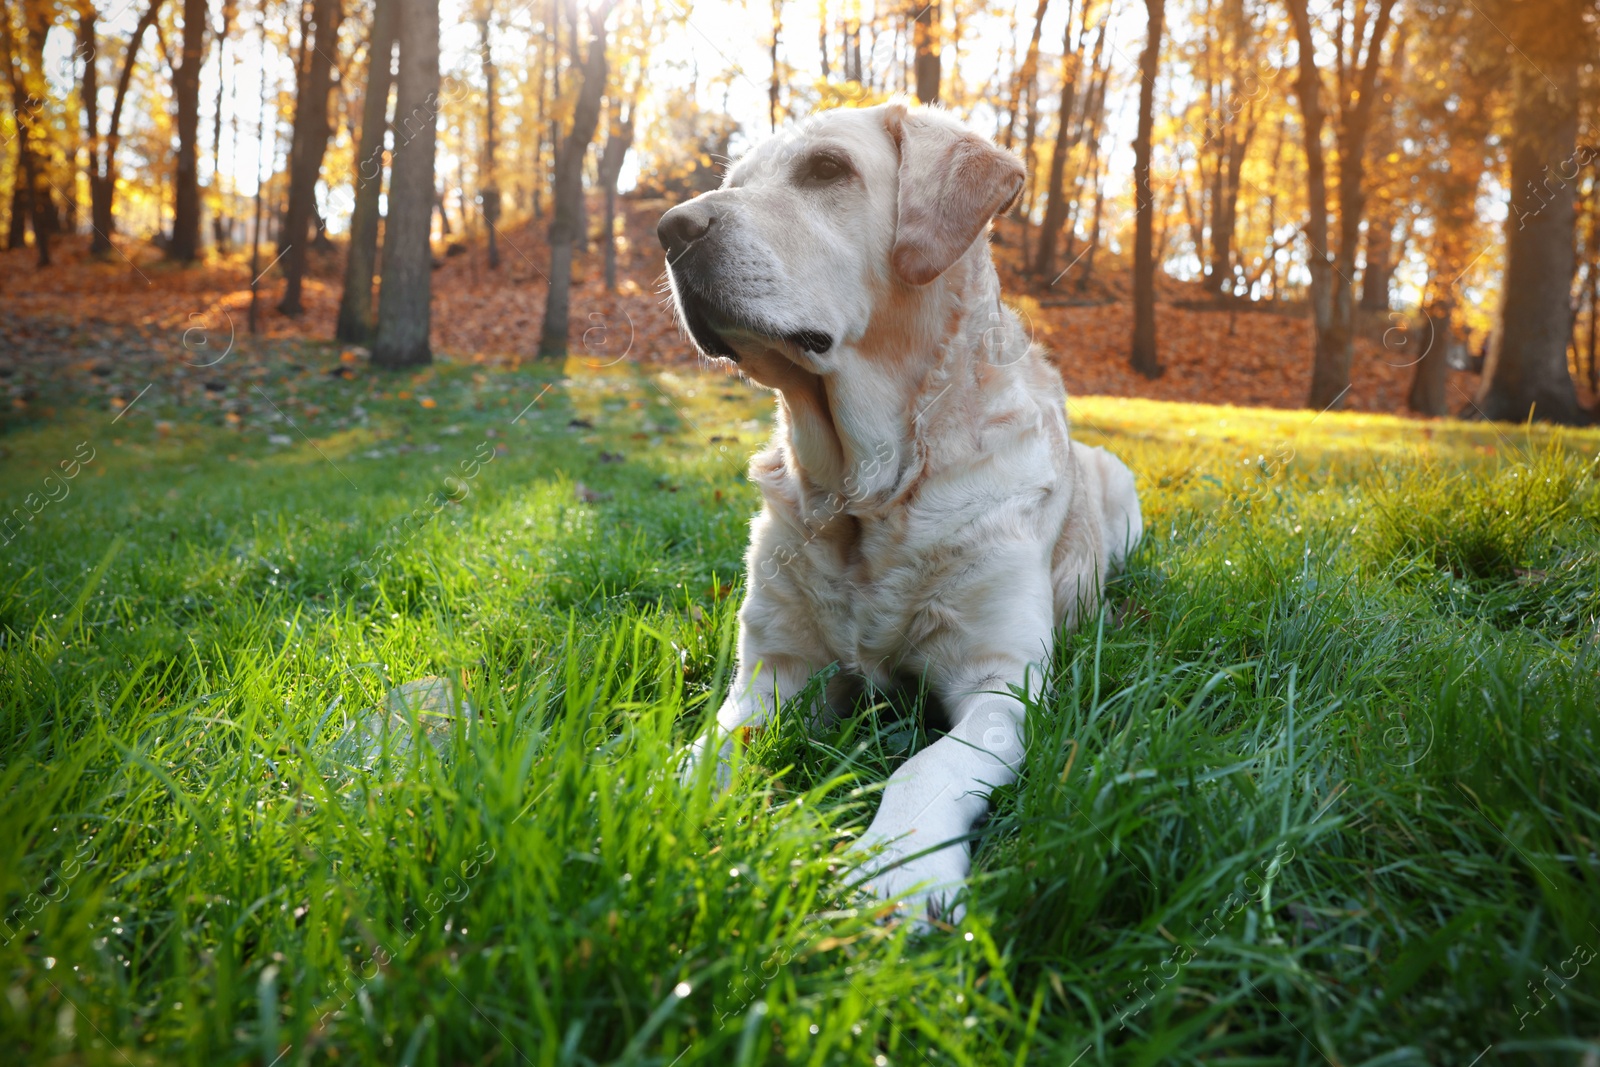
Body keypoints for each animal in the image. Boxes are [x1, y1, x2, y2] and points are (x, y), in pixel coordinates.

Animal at [656, 102, 1145, 927]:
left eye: (826, 170)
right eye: (736, 179)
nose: (669, 228)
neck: (870, 489)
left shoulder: (1003, 679)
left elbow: (925, 765)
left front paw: (896, 869)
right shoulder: (773, 668)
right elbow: (711, 745)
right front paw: (658, 797)